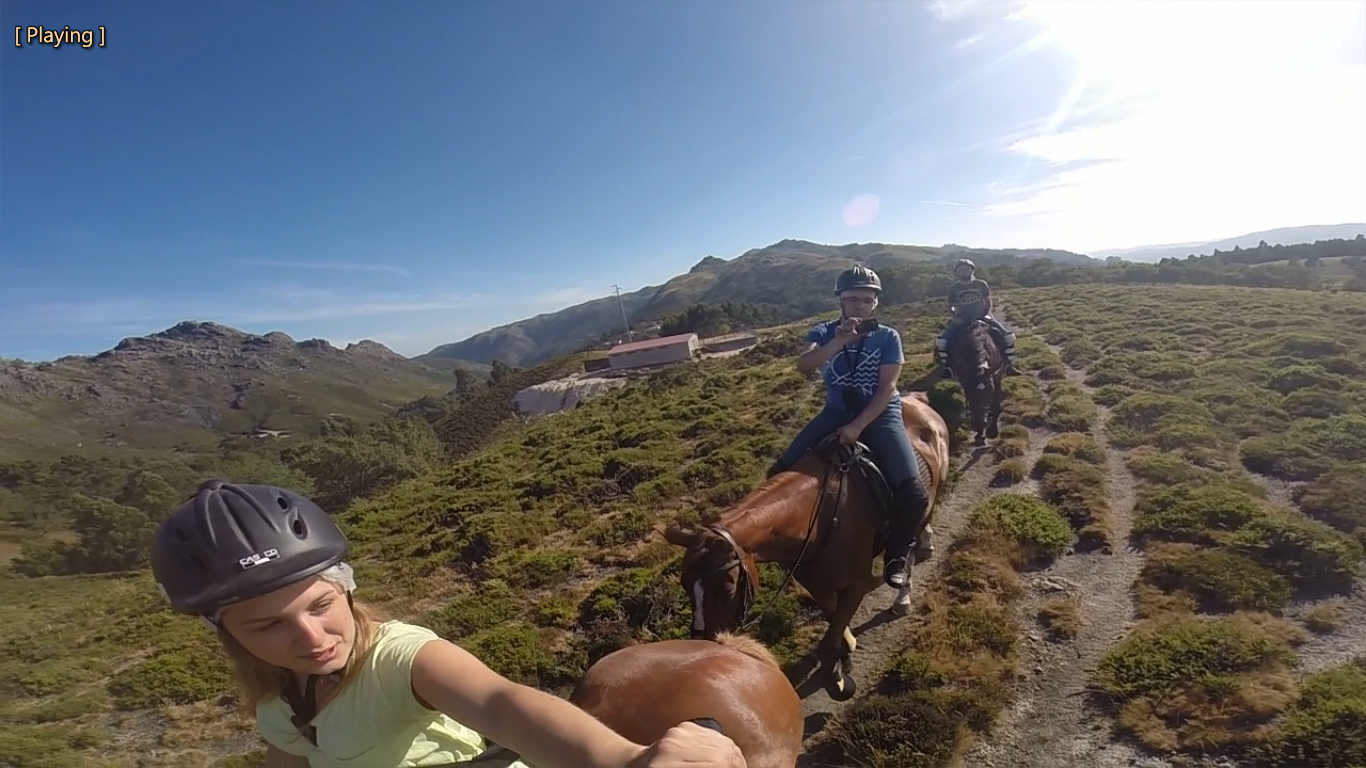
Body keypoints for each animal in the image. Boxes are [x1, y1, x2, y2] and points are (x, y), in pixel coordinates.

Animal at [663, 393, 950, 699]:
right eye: (685, 585)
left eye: (726, 590)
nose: (704, 646)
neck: (819, 514)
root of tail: (916, 399)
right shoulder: (813, 581)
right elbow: (833, 617)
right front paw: (846, 649)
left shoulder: (856, 584)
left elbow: (829, 639)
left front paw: (837, 679)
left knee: (912, 540)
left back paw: (903, 591)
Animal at [945, 317, 1010, 445]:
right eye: (970, 391)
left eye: (990, 391)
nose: (980, 424)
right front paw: (979, 435)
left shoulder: (997, 377)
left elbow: (996, 405)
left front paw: (992, 431)